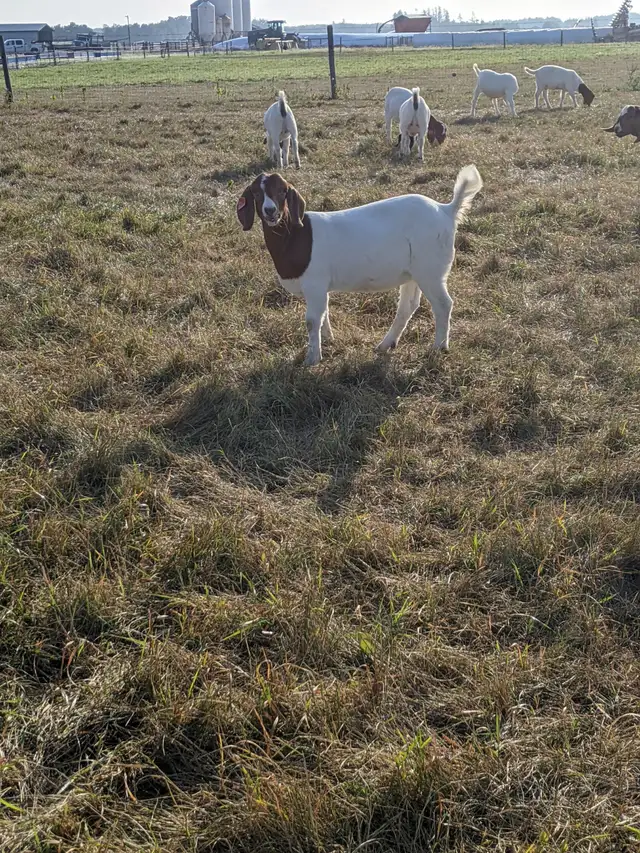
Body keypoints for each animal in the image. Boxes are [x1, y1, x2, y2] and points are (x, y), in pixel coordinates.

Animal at [236, 166, 483, 366]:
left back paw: (438, 347)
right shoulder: (319, 288)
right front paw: (329, 340)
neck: (295, 236)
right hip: (413, 273)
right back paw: (386, 345)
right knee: (408, 306)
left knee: (443, 304)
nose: (270, 211)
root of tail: (446, 210)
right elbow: (324, 313)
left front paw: (312, 358)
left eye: (282, 191)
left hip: (431, 270)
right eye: (256, 193)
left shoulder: (315, 282)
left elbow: (312, 321)